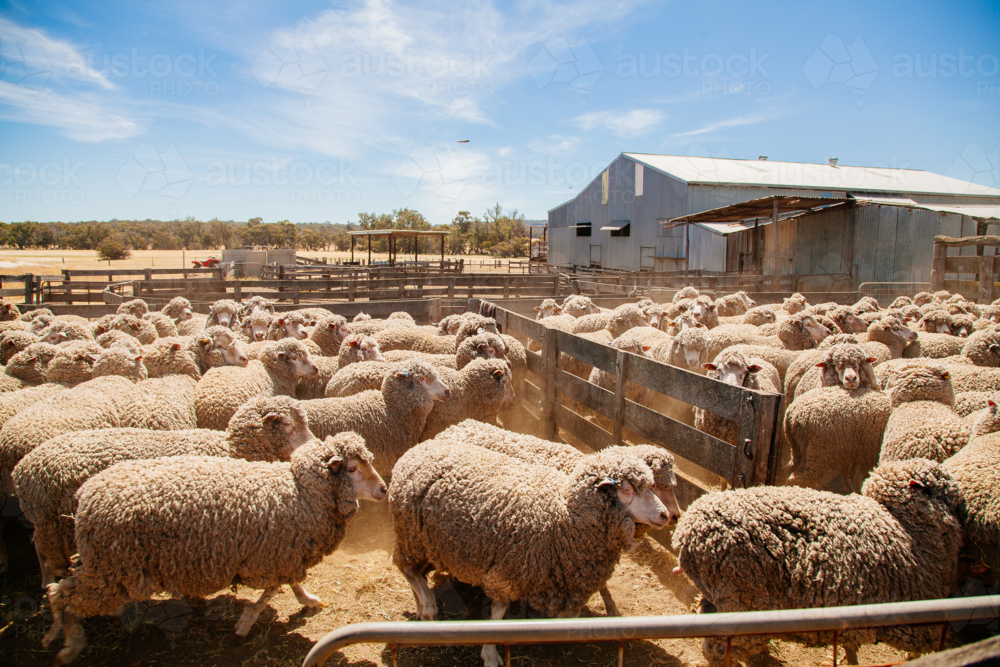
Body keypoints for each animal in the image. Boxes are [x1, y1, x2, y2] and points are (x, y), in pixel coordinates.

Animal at [42, 432, 386, 664]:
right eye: (352, 469)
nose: (383, 489)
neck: (301, 492)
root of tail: (87, 495)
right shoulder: (271, 554)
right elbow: (271, 591)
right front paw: (245, 623)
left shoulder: (284, 552)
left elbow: (290, 583)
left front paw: (308, 600)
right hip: (108, 565)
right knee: (61, 595)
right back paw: (69, 645)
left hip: (105, 565)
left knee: (65, 589)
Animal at [390, 441, 671, 666]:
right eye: (626, 490)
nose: (665, 515)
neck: (564, 513)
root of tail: (417, 449)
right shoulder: (506, 571)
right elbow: (497, 614)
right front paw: (490, 655)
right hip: (410, 534)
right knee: (405, 567)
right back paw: (428, 608)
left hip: (428, 542)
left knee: (415, 572)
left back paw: (422, 608)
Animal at [673, 458, 962, 666]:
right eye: (942, 491)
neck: (909, 531)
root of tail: (688, 534)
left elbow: (849, 645)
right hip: (743, 605)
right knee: (717, 649)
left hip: (720, 599)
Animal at [784, 345, 890, 492]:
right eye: (836, 365)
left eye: (858, 363)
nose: (851, 379)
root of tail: (792, 413)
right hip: (820, 454)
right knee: (800, 480)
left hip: (799, 451)